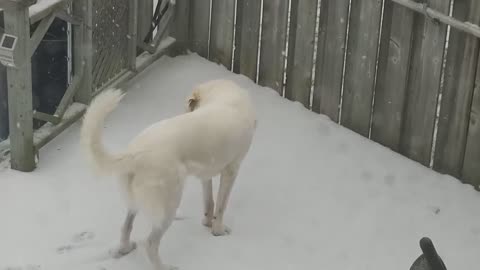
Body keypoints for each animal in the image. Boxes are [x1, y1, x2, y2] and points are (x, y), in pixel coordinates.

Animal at [80, 79, 256, 270]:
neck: (226, 96)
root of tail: (135, 152)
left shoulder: (206, 174)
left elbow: (209, 202)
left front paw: (207, 223)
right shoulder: (232, 170)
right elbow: (221, 206)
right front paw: (218, 231)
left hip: (136, 202)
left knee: (126, 227)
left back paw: (125, 248)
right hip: (168, 205)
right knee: (150, 243)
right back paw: (163, 266)